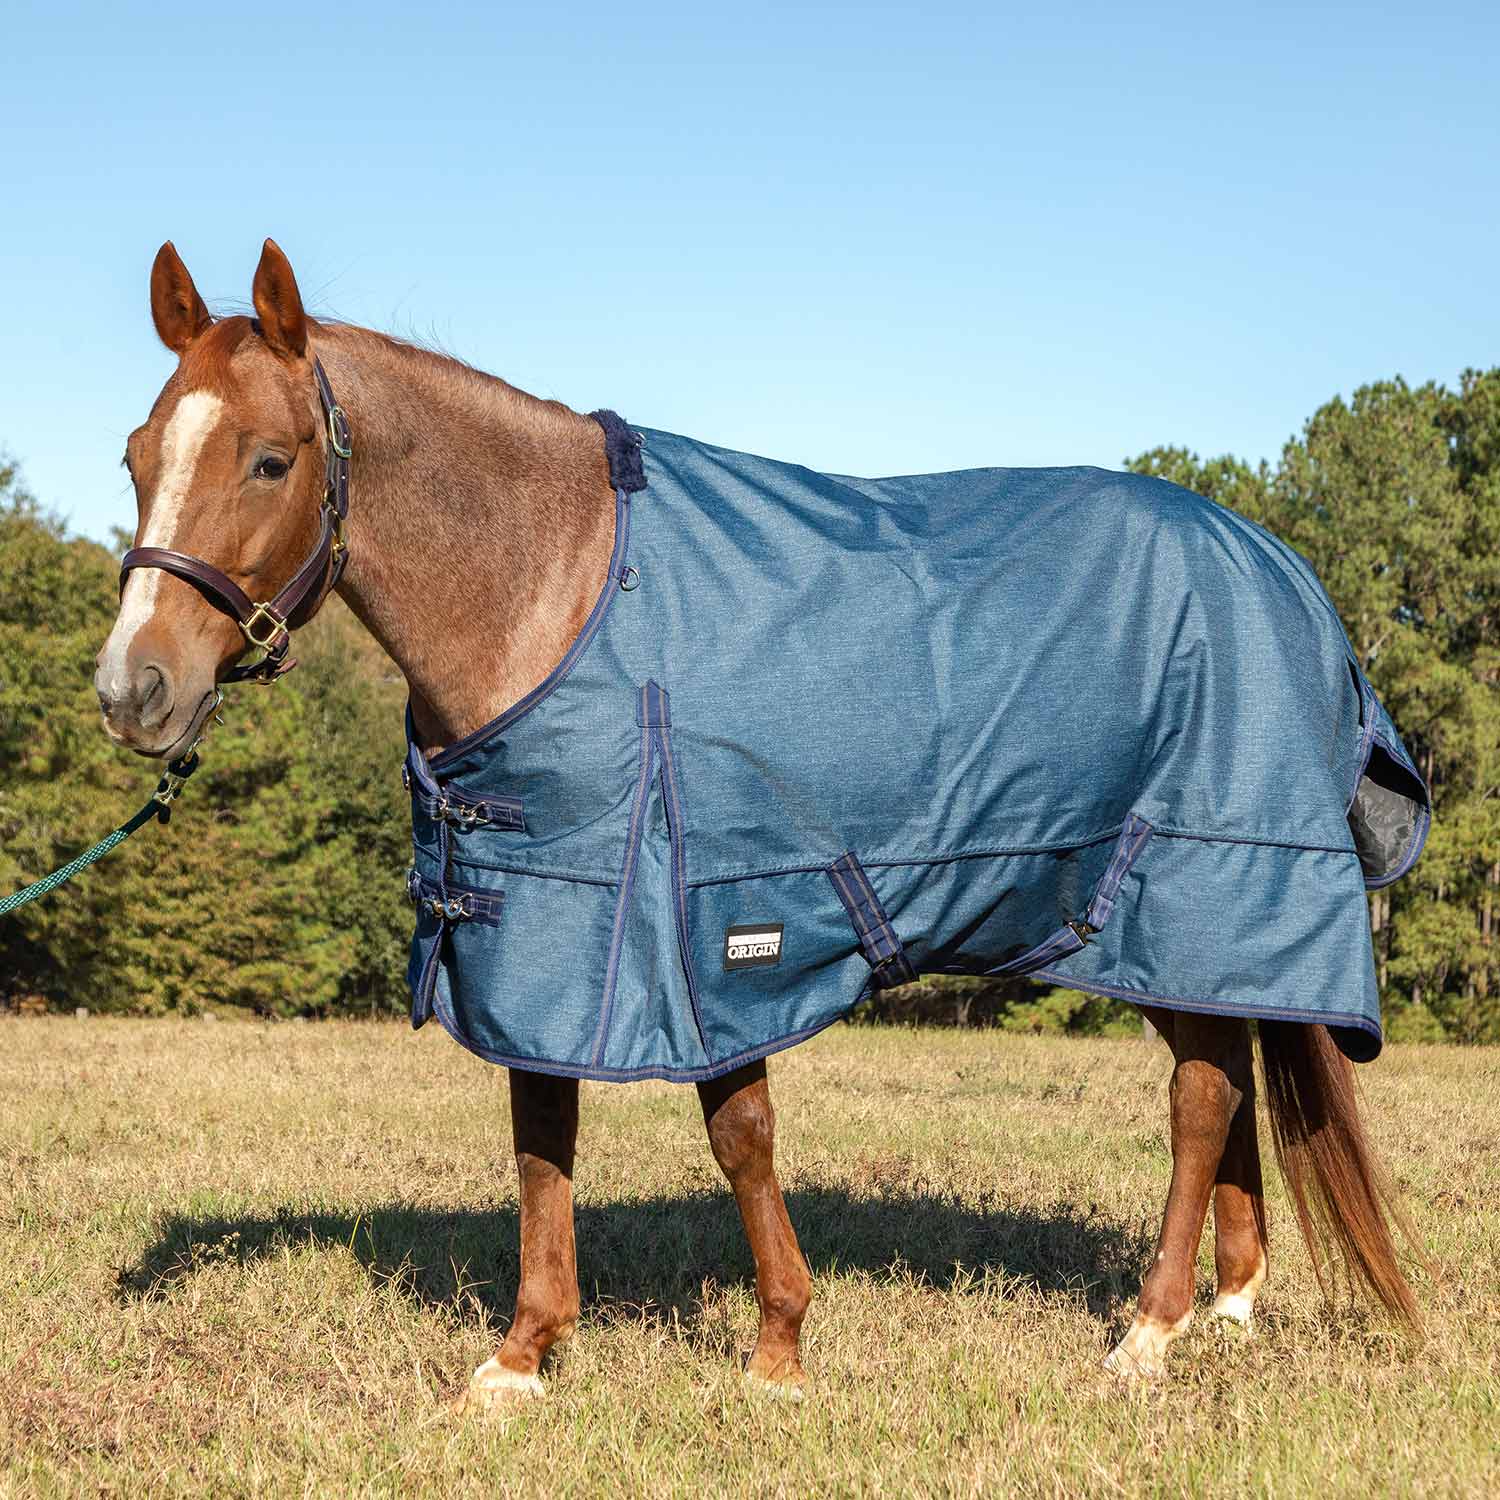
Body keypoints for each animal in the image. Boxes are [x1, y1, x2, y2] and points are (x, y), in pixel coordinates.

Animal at [95, 238, 1425, 1407]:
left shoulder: (706, 918)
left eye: (270, 462)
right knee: (1232, 1072)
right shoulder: (549, 924)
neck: (556, 587)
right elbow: (541, 1131)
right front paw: (522, 1358)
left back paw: (1148, 1334)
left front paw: (778, 1350)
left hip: (1190, 886)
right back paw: (1230, 1304)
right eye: (137, 454)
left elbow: (739, 1133)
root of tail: (1281, 568)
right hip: (1152, 926)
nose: (131, 689)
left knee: (1200, 1096)